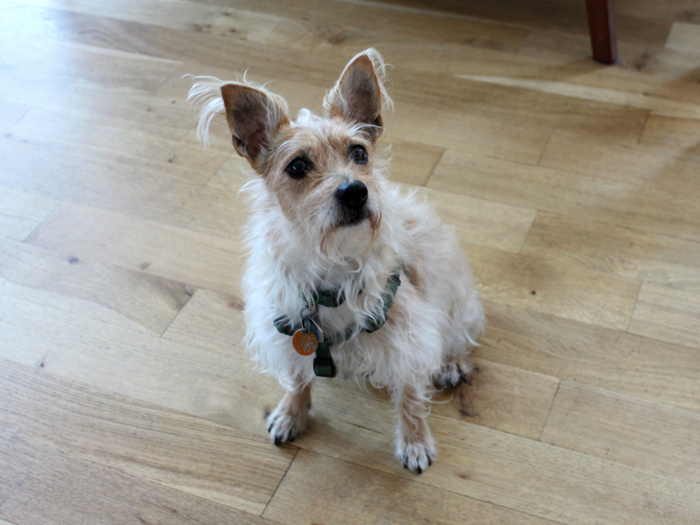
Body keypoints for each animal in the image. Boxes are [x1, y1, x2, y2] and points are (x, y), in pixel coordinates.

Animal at [189, 49, 484, 472]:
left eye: (359, 152)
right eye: (297, 166)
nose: (355, 191)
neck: (333, 264)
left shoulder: (410, 341)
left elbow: (411, 396)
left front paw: (414, 441)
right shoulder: (288, 328)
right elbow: (298, 377)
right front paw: (292, 412)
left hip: (457, 300)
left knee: (457, 335)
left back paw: (452, 363)